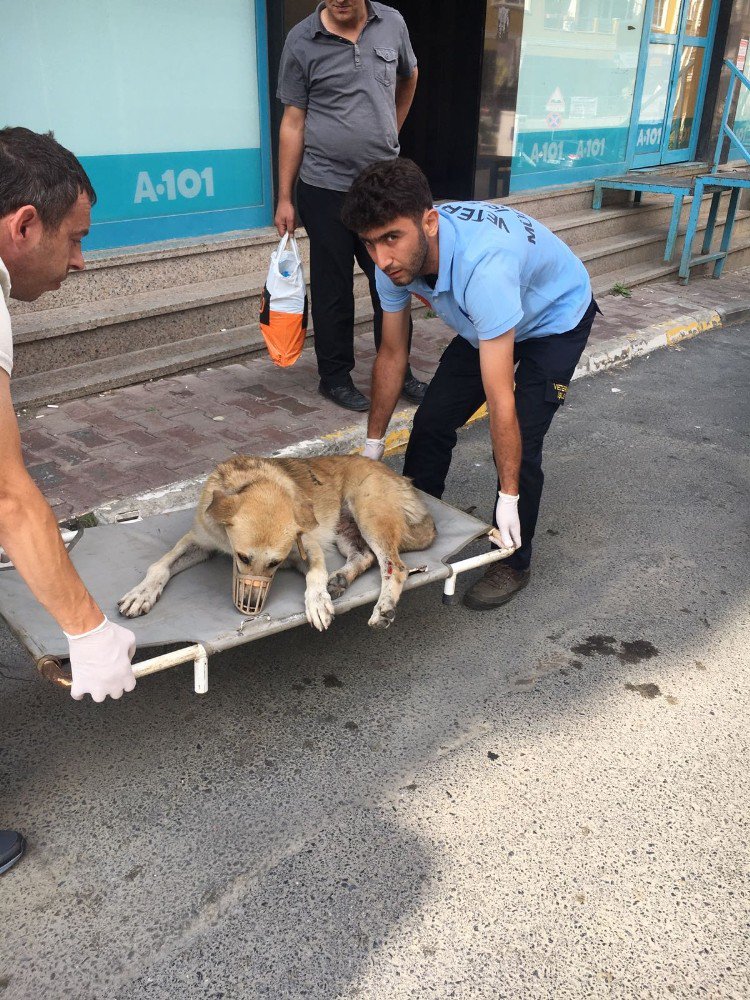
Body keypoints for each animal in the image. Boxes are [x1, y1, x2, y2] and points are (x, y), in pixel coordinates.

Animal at [119, 456, 438, 628]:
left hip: (369, 514)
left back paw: (383, 608)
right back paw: (340, 580)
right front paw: (141, 593)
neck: (259, 484)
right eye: (242, 557)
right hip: (347, 530)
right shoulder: (199, 540)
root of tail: (404, 480)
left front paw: (317, 601)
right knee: (365, 556)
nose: (249, 605)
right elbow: (160, 565)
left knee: (394, 566)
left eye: (275, 563)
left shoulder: (309, 546)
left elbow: (314, 575)